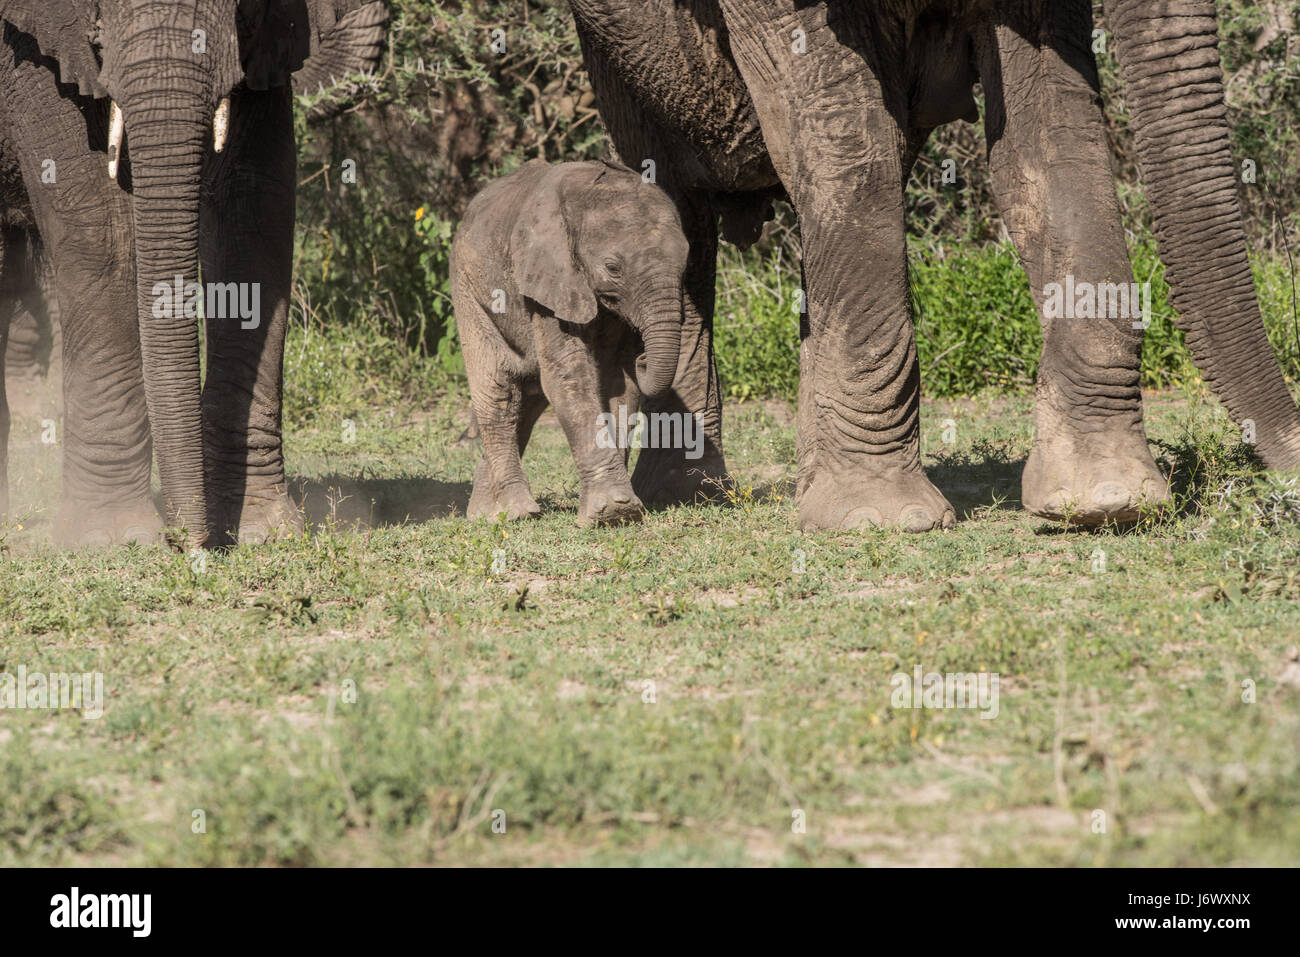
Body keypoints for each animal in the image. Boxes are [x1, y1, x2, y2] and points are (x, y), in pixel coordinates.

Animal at [0, 0, 384, 546]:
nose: (186, 541)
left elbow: (252, 200)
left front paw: (260, 529)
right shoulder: (29, 47)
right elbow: (97, 213)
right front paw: (112, 539)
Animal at [452, 160, 691, 527]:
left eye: (685, 264)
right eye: (613, 268)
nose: (644, 359)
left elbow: (619, 385)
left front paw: (618, 510)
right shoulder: (550, 281)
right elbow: (569, 376)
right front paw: (612, 511)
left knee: (529, 396)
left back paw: (486, 514)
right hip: (467, 290)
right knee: (499, 390)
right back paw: (515, 512)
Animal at [574, 0, 1300, 530]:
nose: (1286, 467)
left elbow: (1052, 136)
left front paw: (1105, 500)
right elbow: (847, 145)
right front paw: (884, 522)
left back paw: (801, 486)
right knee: (679, 202)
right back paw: (688, 496)